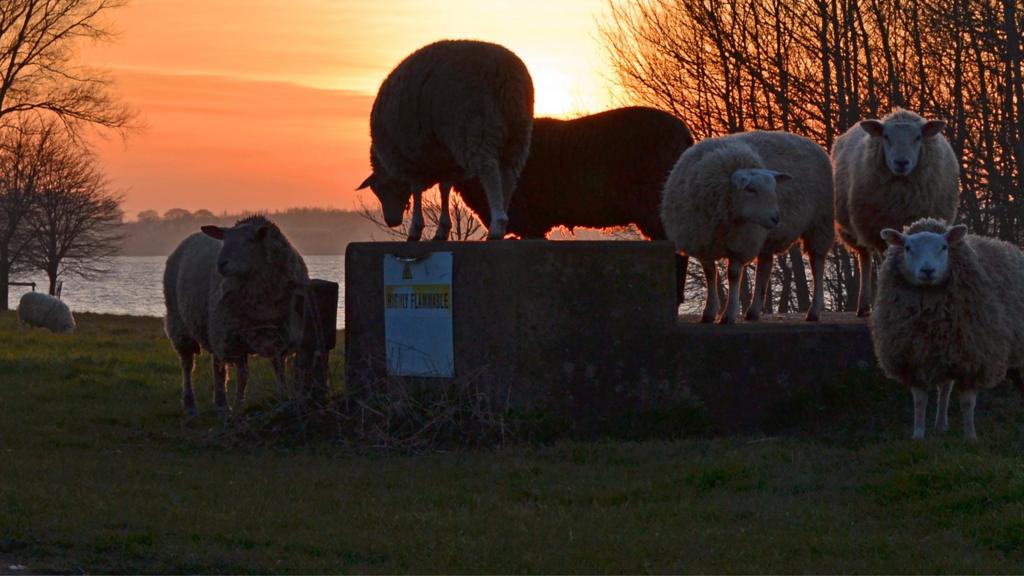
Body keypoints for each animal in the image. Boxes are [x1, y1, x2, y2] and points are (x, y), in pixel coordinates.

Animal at [160, 213, 307, 414]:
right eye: (225, 240)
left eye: (251, 239)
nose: (221, 264)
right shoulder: (235, 340)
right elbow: (243, 375)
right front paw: (238, 407)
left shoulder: (280, 336)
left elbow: (279, 369)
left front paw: (285, 397)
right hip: (180, 324)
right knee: (187, 364)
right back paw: (190, 405)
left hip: (213, 327)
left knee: (217, 365)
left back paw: (221, 404)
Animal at [358, 38, 536, 239]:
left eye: (379, 189)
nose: (391, 222)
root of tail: (507, 72)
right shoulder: (445, 161)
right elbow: (445, 189)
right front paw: (442, 229)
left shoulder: (411, 160)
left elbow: (416, 189)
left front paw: (415, 229)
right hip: (518, 131)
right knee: (509, 174)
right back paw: (503, 218)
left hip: (474, 125)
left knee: (489, 169)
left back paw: (497, 224)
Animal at [659, 130, 835, 325]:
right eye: (750, 189)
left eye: (774, 188)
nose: (776, 218)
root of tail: (809, 142)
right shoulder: (703, 241)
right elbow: (710, 275)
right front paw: (709, 313)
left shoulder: (742, 242)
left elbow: (734, 274)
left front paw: (729, 314)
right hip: (768, 236)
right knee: (765, 265)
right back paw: (753, 311)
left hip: (820, 223)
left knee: (817, 263)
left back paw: (814, 311)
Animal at [831, 107, 958, 313]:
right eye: (886, 136)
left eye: (917, 137)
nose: (901, 162)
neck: (901, 199)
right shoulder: (877, 230)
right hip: (857, 228)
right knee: (865, 259)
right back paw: (864, 305)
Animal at [868, 217, 1024, 436]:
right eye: (907, 248)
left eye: (943, 247)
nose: (927, 271)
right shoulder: (914, 359)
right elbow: (920, 401)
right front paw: (918, 434)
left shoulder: (973, 359)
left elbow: (967, 403)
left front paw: (970, 436)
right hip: (946, 351)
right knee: (945, 388)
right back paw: (941, 424)